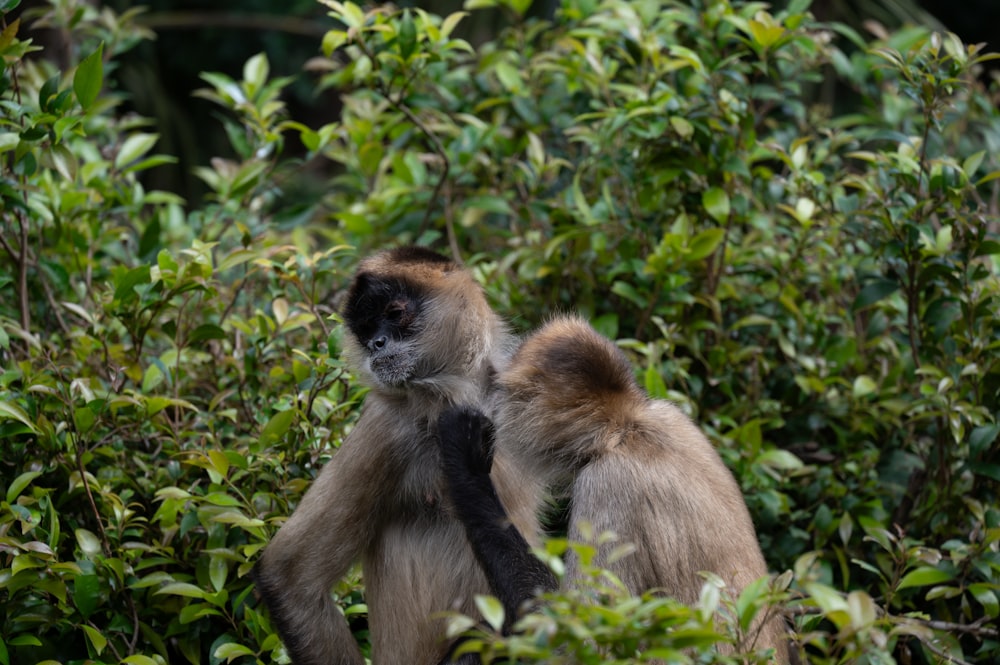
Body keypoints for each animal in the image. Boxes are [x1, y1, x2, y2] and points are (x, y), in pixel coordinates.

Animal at [254, 248, 544, 664]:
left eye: (394, 313)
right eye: (365, 328)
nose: (376, 343)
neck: (458, 394)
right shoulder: (389, 422)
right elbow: (287, 576)